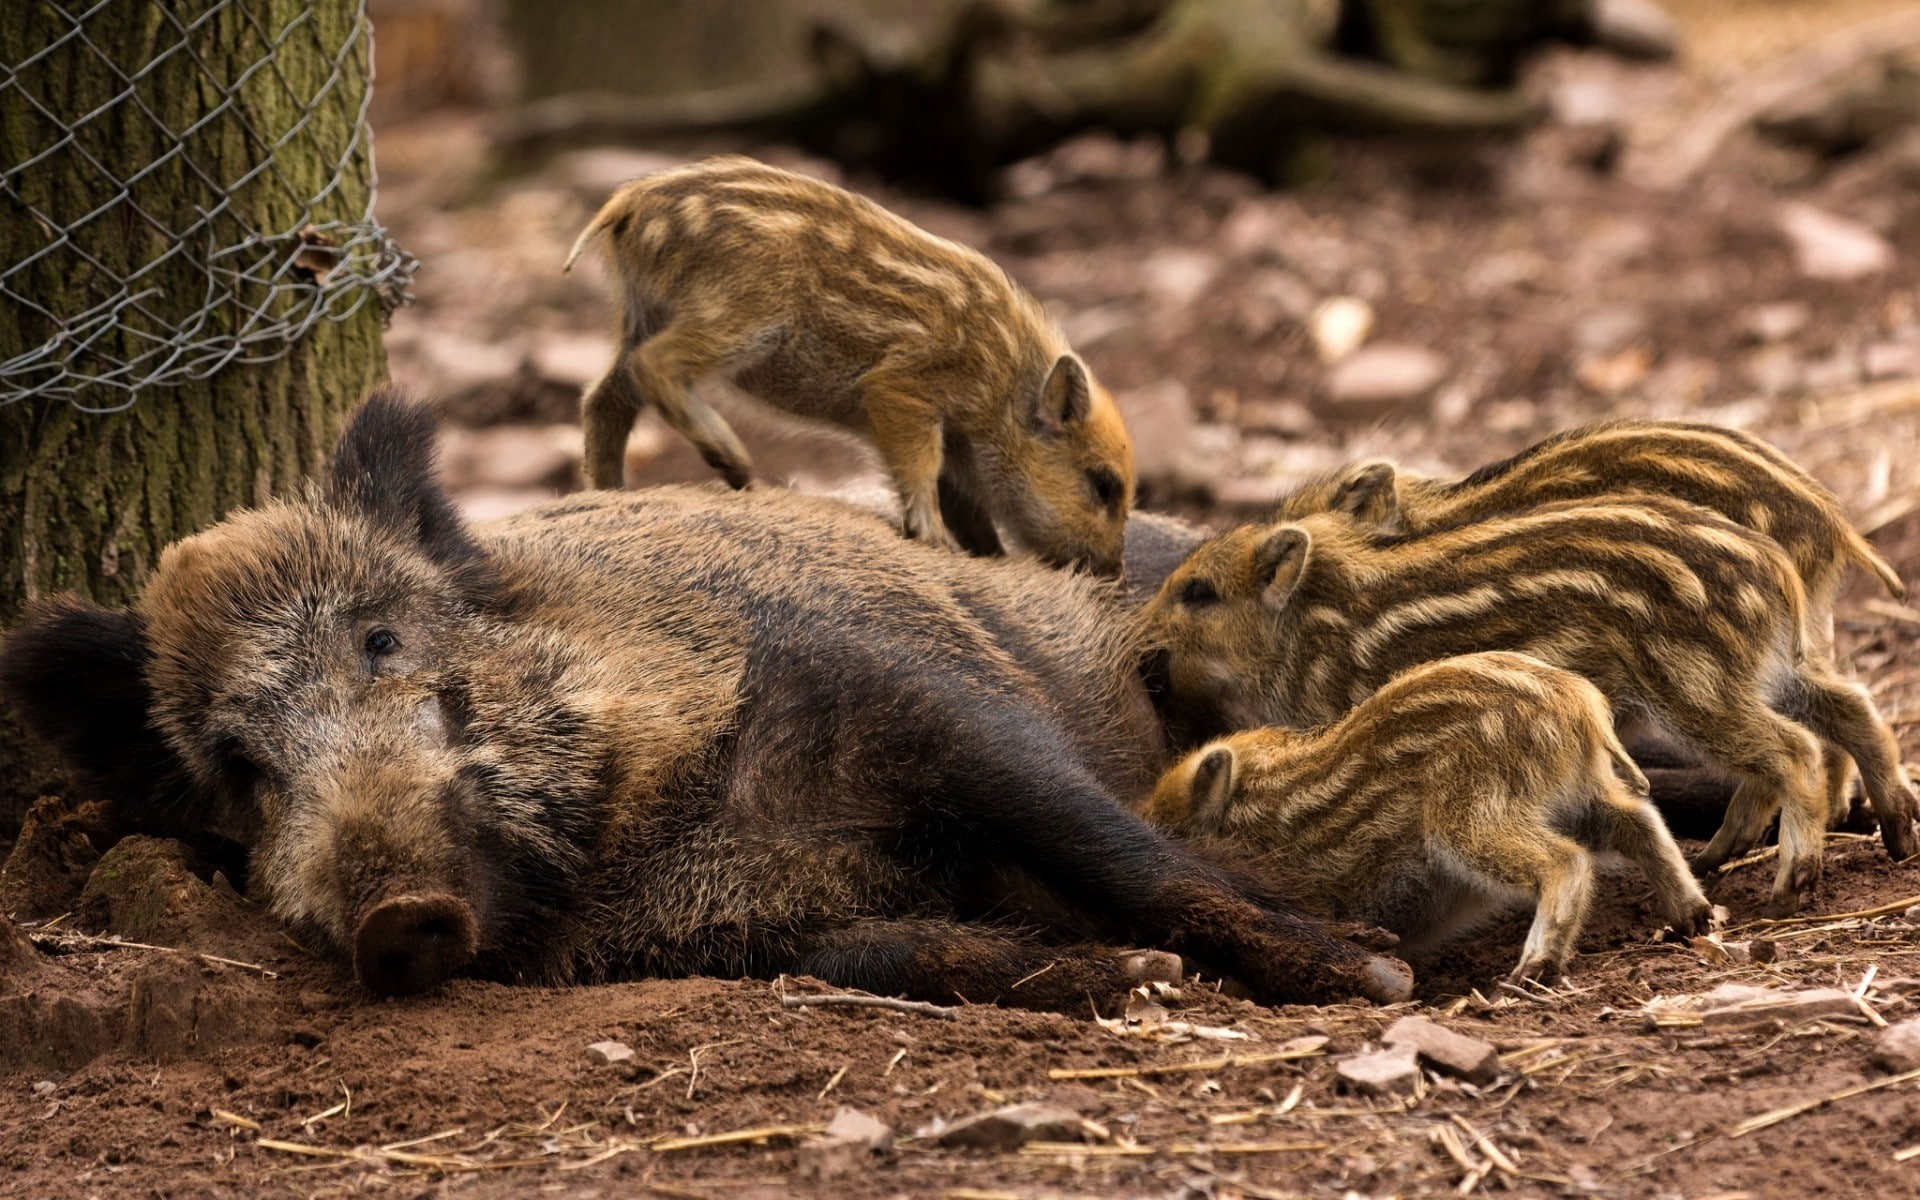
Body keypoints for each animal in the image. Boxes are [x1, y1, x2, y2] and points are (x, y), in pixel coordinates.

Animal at [0, 390, 1409, 1009]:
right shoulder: (741, 934)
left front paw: (1371, 974)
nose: (399, 912)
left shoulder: (925, 695)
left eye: (384, 638)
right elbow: (912, 950)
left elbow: (1126, 852)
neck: (657, 829)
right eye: (242, 767)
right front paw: (1124, 976)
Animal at [564, 156, 1135, 575]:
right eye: (1103, 485)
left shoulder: (957, 444)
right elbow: (921, 470)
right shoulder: (901, 389)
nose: (1114, 573)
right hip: (738, 313)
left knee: (605, 398)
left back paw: (611, 492)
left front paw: (986, 556)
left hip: (643, 312)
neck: (1004, 383)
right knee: (654, 365)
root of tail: (630, 201)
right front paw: (936, 543)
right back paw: (738, 468)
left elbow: (964, 501)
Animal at [1138, 497, 1920, 915]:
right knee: (1853, 708)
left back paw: (1790, 878)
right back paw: (1888, 836)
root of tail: (1775, 568)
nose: (1142, 640)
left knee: (1795, 750)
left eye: (1199, 592)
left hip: (1696, 685)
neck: (1313, 626)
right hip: (1767, 668)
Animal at [1145, 652, 1715, 982]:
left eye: (1173, 832)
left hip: (1471, 816)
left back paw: (1532, 969)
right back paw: (1694, 917)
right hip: (1579, 796)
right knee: (1638, 820)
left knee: (1565, 860)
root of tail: (1579, 704)